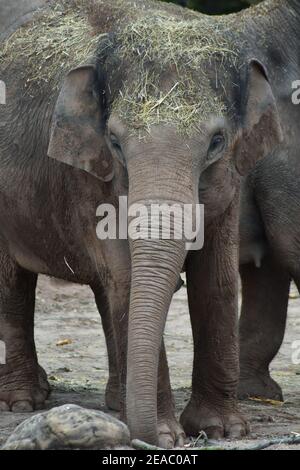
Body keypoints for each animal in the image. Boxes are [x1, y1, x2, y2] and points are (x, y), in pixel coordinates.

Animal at [0, 0, 290, 448]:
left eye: (217, 141)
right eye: (116, 143)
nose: (146, 437)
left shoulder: (232, 183)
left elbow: (217, 281)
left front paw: (221, 429)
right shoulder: (91, 179)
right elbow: (129, 277)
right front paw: (168, 435)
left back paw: (115, 403)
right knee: (15, 285)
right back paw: (22, 401)